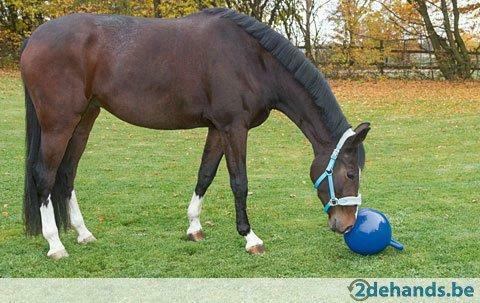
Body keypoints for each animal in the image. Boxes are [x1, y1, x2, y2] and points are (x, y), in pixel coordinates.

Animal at [19, 7, 372, 260]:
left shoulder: (218, 128)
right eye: (351, 173)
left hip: (84, 119)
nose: (347, 224)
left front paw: (194, 227)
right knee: (44, 175)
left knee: (67, 173)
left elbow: (205, 174)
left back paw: (83, 233)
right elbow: (239, 182)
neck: (252, 60)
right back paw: (55, 245)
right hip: (59, 122)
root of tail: (35, 37)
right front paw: (250, 237)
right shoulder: (234, 127)